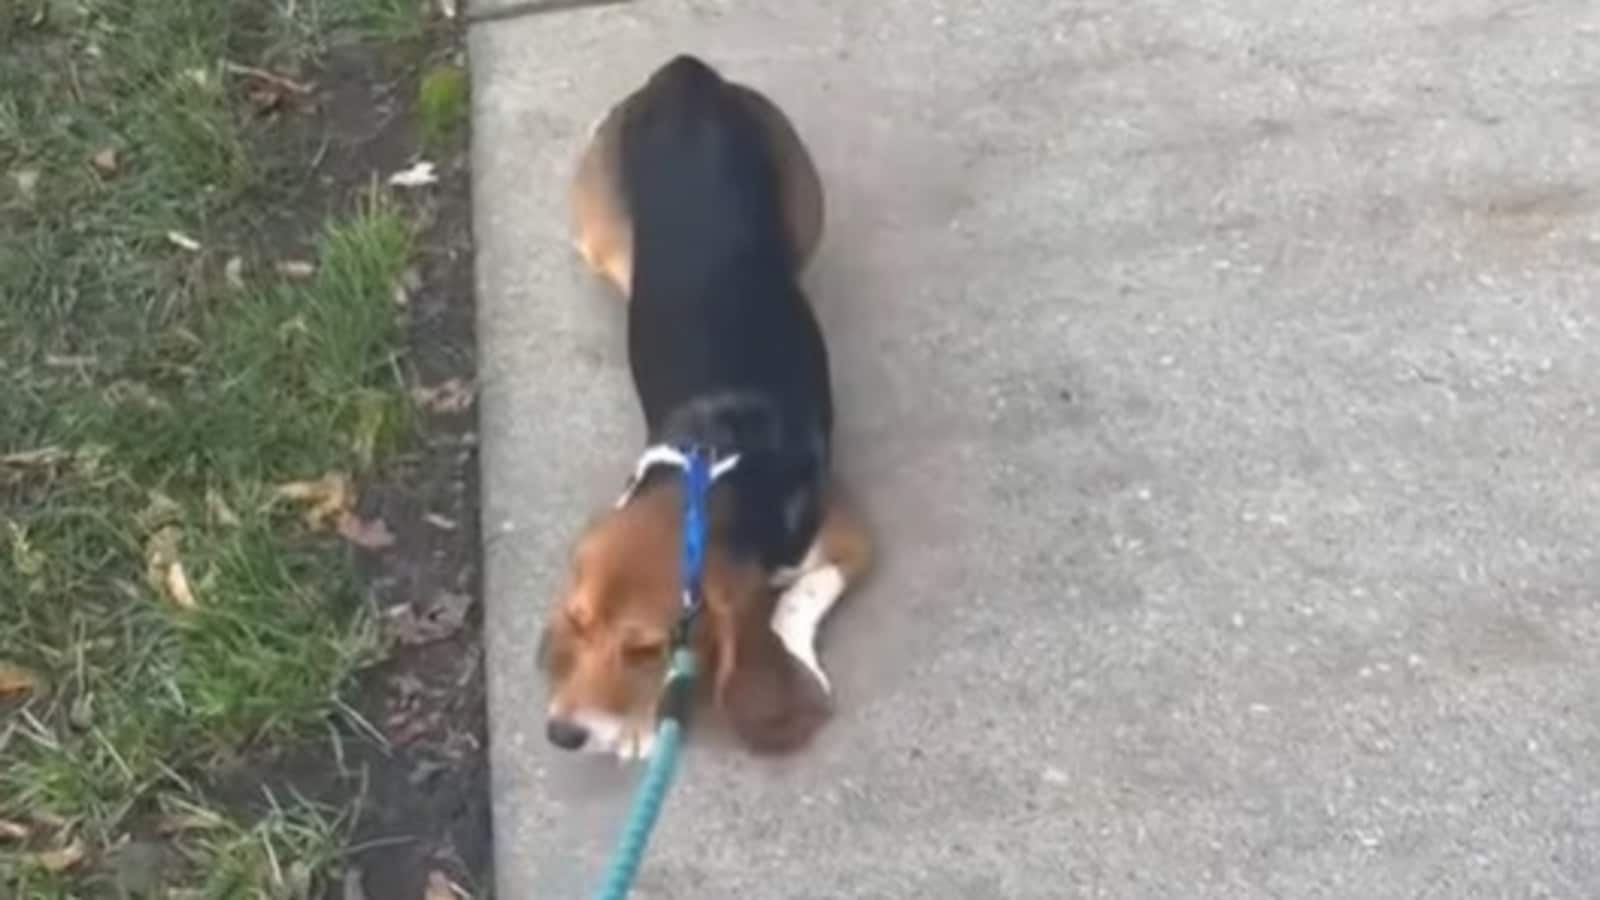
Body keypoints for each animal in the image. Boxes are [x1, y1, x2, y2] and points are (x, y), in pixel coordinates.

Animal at [540, 54, 876, 755]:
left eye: (644, 649)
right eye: (577, 624)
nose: (562, 734)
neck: (710, 475)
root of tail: (683, 76)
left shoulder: (852, 536)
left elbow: (794, 600)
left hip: (806, 207)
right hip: (604, 242)